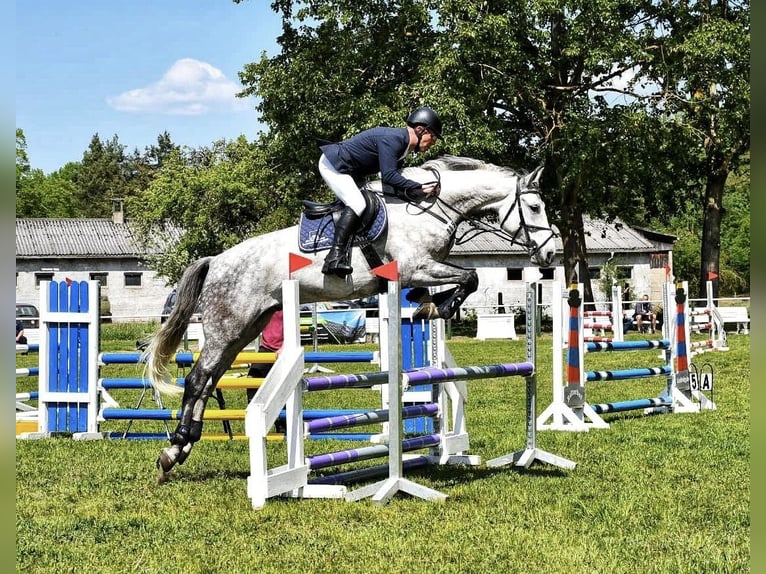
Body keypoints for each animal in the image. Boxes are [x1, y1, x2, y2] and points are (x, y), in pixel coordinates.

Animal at [147, 154, 556, 482]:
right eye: (535, 207)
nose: (550, 255)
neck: (431, 208)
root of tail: (215, 261)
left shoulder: (420, 271)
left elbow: (459, 281)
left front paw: (426, 304)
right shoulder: (417, 267)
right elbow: (469, 277)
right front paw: (439, 306)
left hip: (246, 327)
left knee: (208, 379)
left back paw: (180, 448)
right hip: (228, 324)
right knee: (198, 378)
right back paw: (174, 450)